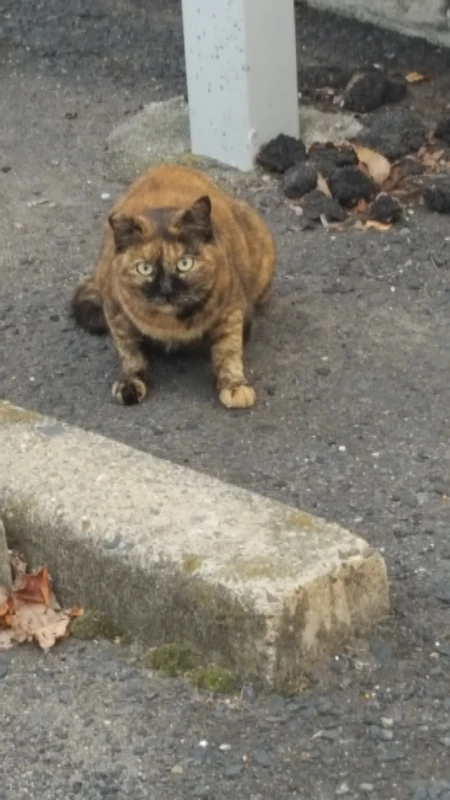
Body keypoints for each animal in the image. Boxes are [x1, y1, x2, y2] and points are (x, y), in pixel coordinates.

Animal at [71, 165, 274, 410]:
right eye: (145, 268)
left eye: (184, 264)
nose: (166, 290)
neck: (170, 325)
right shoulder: (115, 310)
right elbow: (130, 352)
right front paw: (130, 382)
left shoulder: (230, 310)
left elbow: (228, 350)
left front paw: (234, 385)